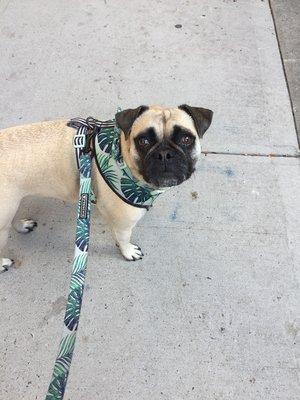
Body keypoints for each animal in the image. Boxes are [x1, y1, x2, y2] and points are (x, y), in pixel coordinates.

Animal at [0, 104, 213, 270]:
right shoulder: (123, 223)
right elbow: (124, 239)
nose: (164, 154)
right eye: (143, 141)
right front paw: (128, 252)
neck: (120, 155)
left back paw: (22, 225)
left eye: (186, 139)